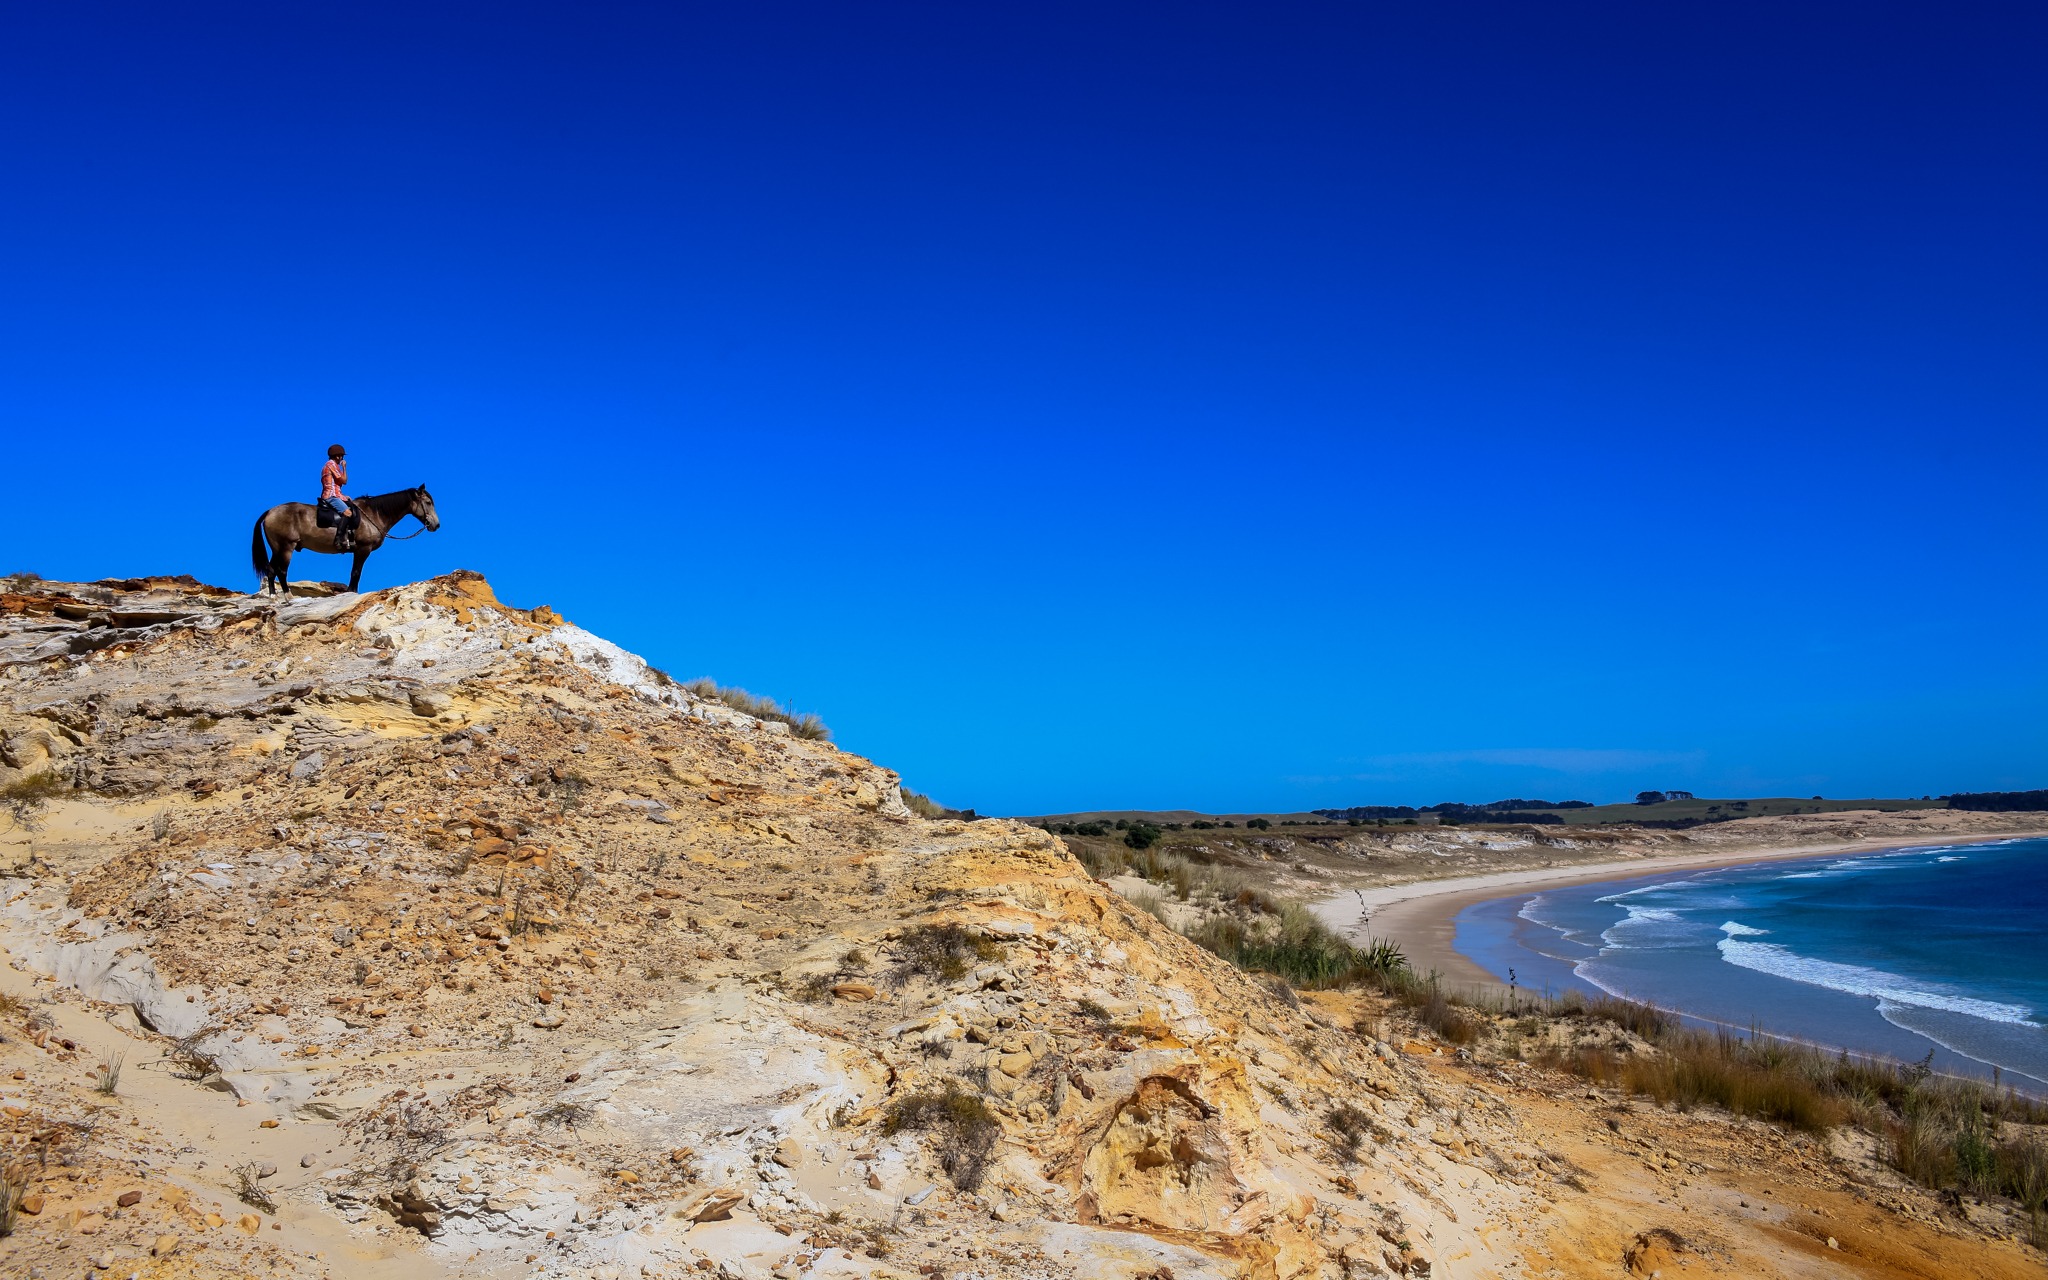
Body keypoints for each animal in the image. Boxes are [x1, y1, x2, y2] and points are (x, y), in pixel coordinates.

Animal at [250, 485, 441, 595]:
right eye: (428, 502)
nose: (436, 525)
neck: (373, 515)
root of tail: (270, 512)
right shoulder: (362, 549)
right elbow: (356, 573)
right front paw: (351, 592)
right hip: (286, 548)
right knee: (281, 571)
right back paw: (289, 597)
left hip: (277, 548)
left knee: (271, 571)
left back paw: (273, 598)